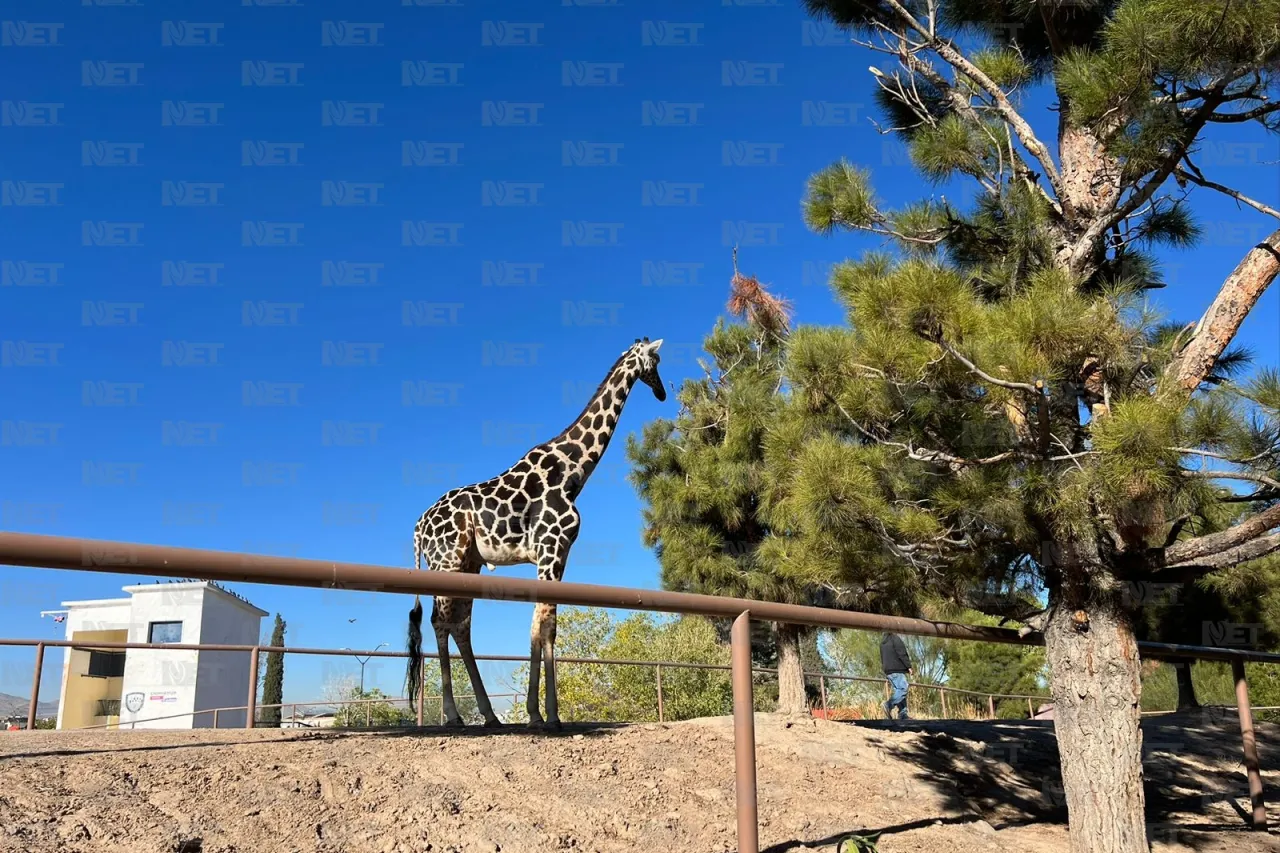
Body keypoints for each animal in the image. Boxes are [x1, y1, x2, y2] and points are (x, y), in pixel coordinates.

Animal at [407, 335, 670, 727]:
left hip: (469, 563)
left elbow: (539, 626)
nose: (663, 393)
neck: (572, 471)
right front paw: (549, 716)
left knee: (460, 625)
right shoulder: (551, 548)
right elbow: (547, 625)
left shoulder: (555, 554)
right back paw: (454, 716)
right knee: (441, 621)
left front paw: (537, 713)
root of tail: (419, 525)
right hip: (446, 561)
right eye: (656, 362)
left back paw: (490, 715)